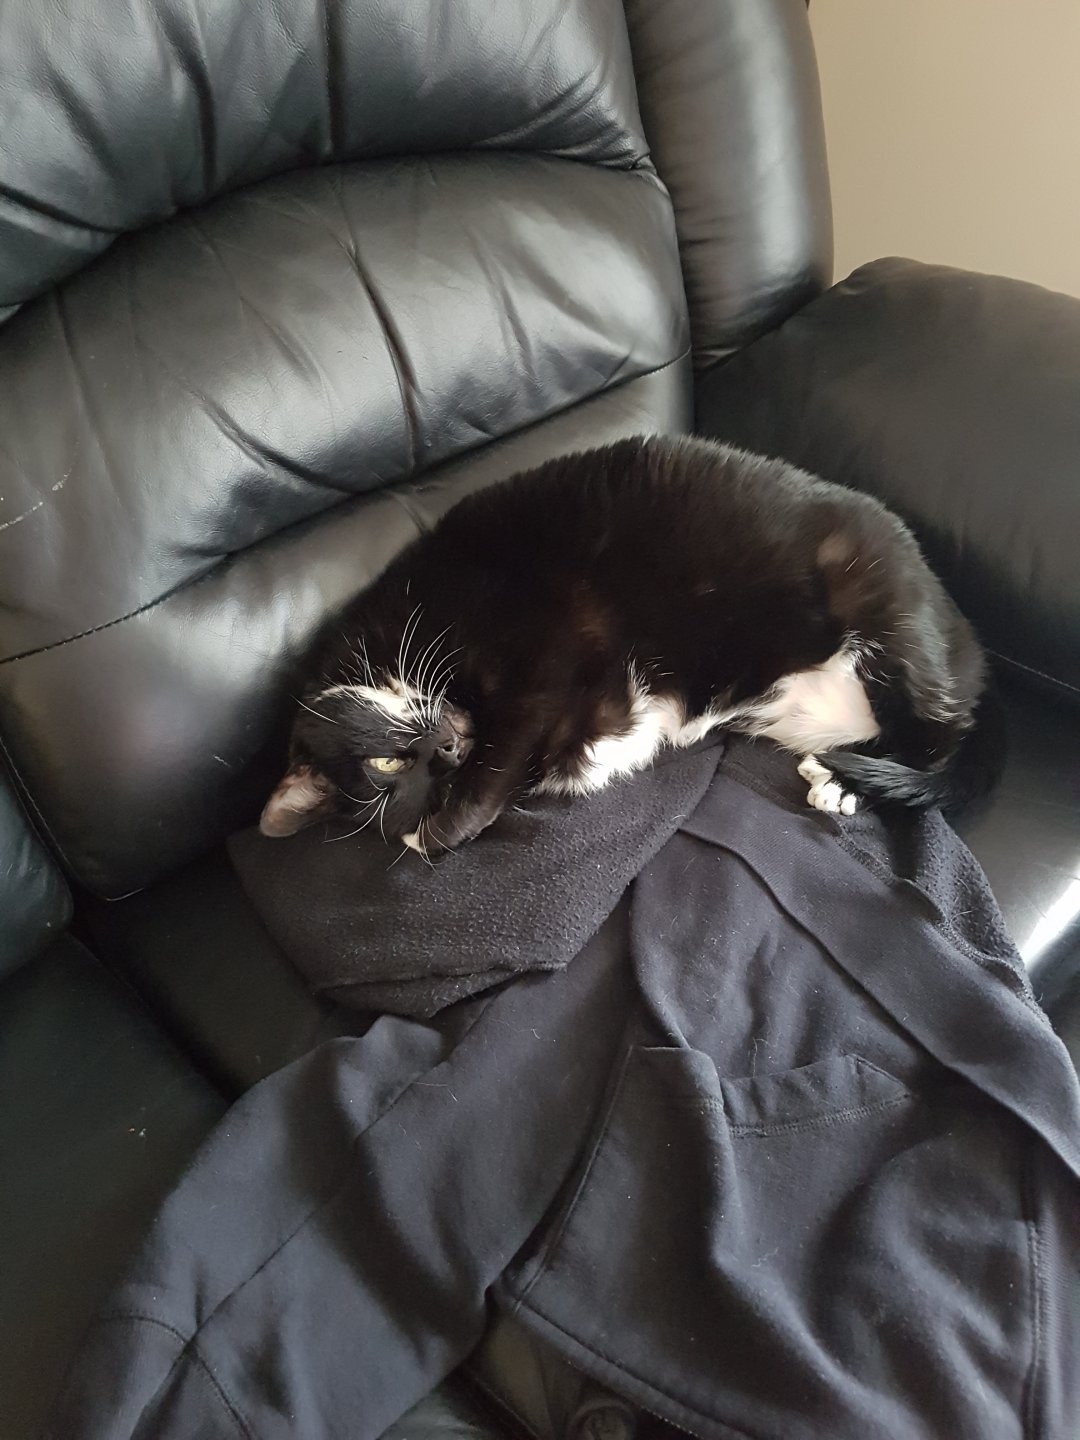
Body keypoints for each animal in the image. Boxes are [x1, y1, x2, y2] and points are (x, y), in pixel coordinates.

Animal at [260, 435, 1001, 855]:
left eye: (386, 765)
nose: (443, 751)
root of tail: (970, 641)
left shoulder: (544, 660)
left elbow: (475, 791)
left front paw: (434, 830)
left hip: (879, 604)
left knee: (939, 743)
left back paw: (850, 780)